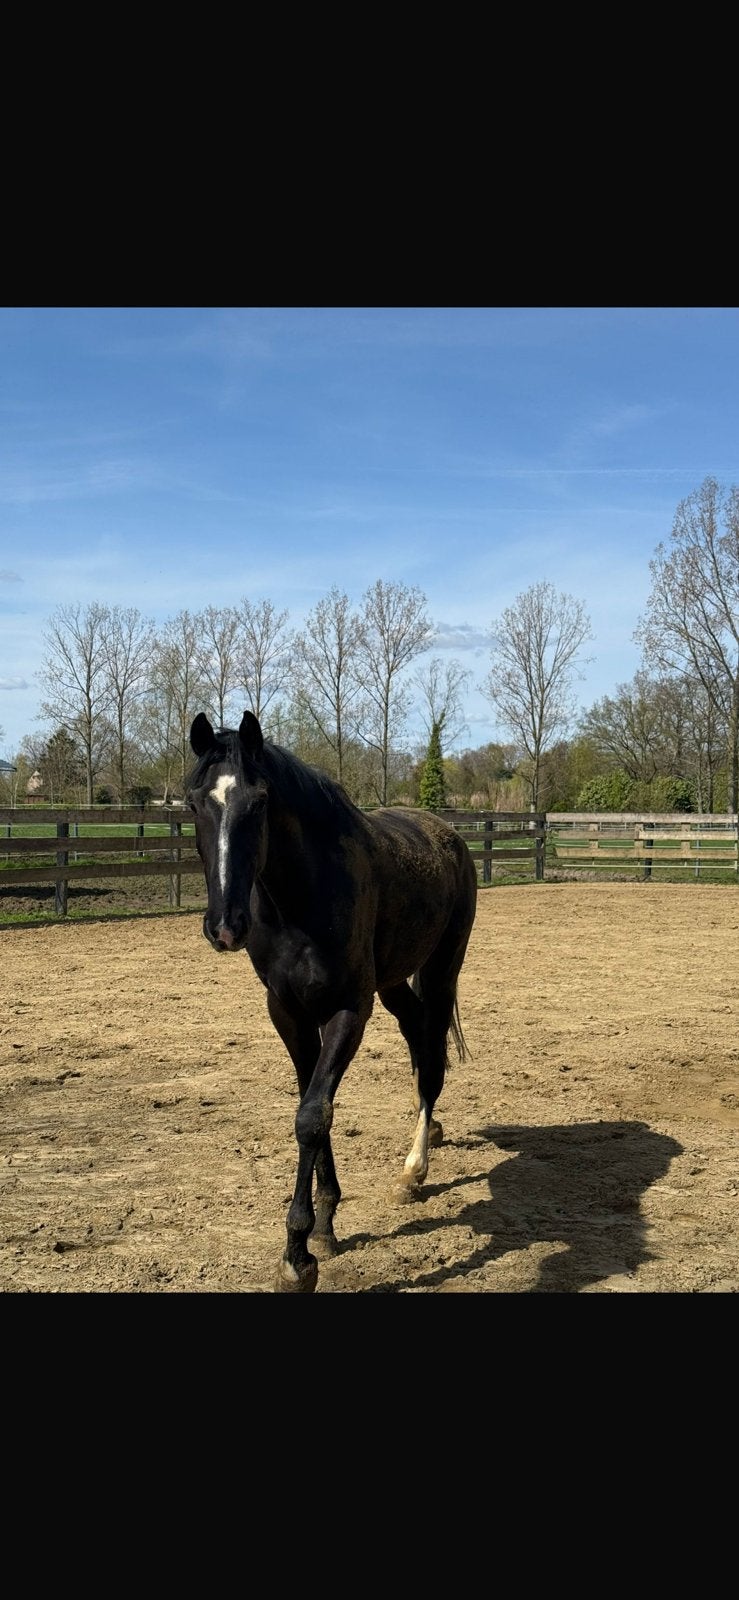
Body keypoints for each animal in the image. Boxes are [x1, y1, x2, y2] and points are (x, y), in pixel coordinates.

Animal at [187, 709, 478, 1293]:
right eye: (193, 803)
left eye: (260, 801)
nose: (226, 927)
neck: (304, 898)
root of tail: (449, 835)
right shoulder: (289, 1012)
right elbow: (309, 1102)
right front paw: (324, 1225)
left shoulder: (349, 1011)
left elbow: (313, 1116)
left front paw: (298, 1255)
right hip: (394, 984)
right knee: (418, 1041)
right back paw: (428, 1134)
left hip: (441, 970)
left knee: (433, 1059)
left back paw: (413, 1170)